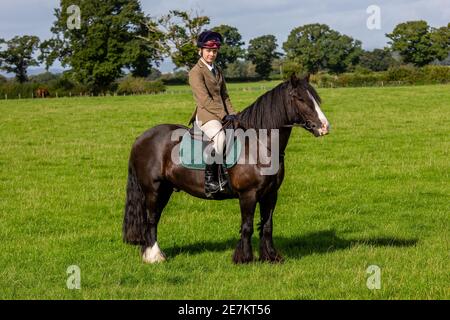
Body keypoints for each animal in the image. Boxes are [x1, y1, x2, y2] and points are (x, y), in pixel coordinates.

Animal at [123, 74, 330, 264]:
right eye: (300, 99)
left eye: (315, 98)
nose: (324, 127)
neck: (258, 145)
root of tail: (141, 138)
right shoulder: (248, 194)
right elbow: (247, 226)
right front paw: (244, 258)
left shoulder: (271, 194)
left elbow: (267, 225)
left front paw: (271, 256)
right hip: (153, 189)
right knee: (151, 219)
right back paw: (154, 256)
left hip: (165, 189)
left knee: (154, 218)